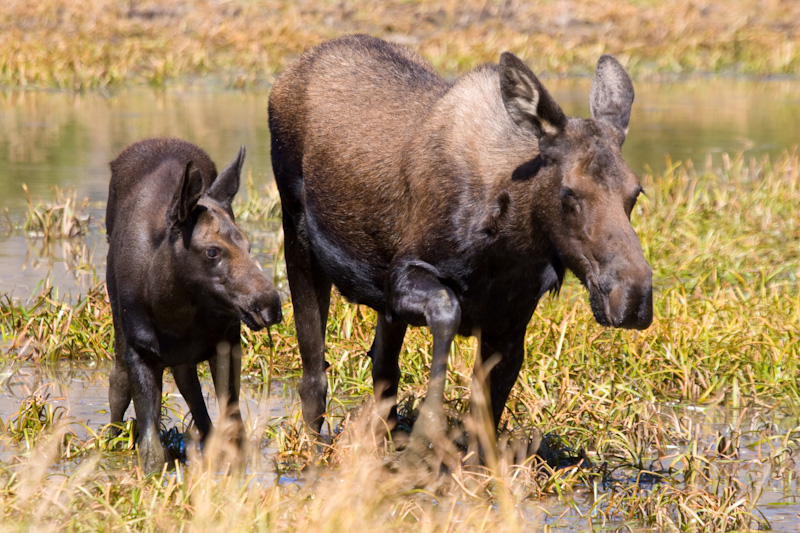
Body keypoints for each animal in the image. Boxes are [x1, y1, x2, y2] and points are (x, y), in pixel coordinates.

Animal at [105, 138, 282, 474]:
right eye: (212, 251)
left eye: (248, 245)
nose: (270, 304)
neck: (173, 310)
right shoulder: (140, 352)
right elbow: (151, 450)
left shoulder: (227, 343)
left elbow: (233, 430)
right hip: (122, 338)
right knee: (117, 386)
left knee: (193, 394)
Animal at [268, 32, 648, 440]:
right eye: (569, 193)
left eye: (636, 192)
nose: (633, 298)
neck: (511, 243)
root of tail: (286, 75)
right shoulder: (401, 275)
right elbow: (447, 309)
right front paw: (431, 423)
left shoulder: (508, 326)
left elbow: (485, 427)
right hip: (297, 234)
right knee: (313, 377)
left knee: (382, 369)